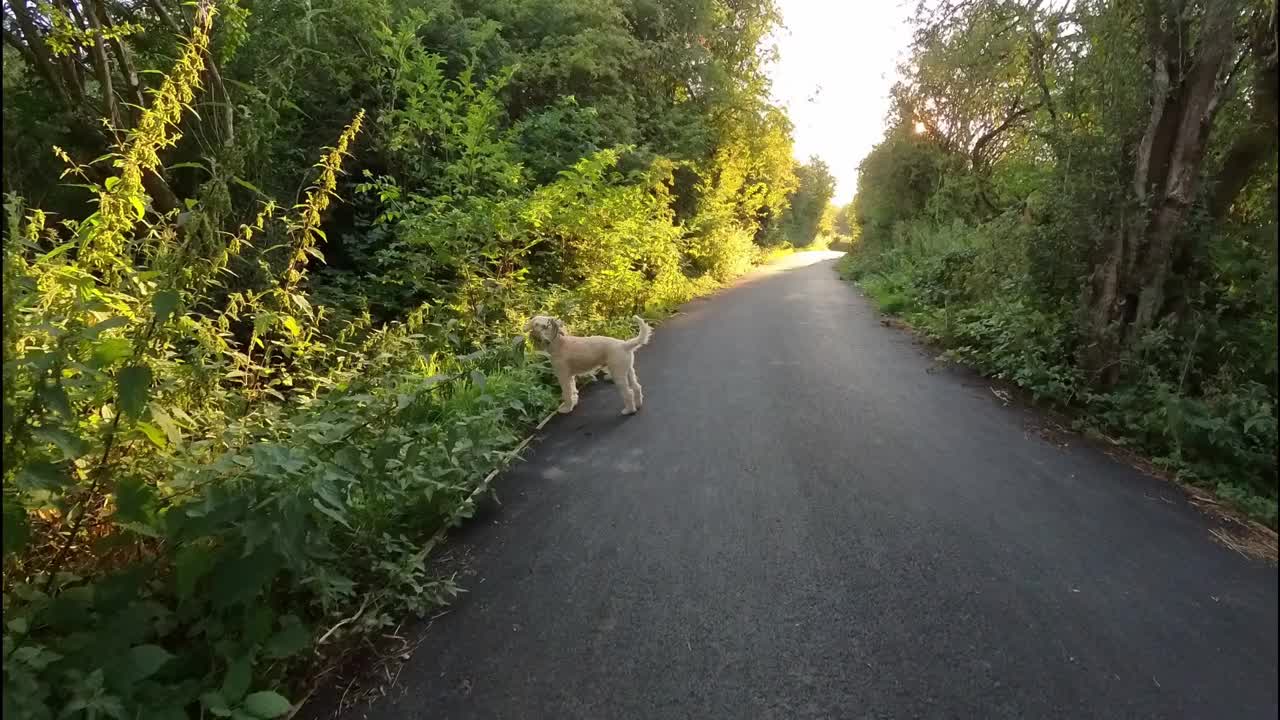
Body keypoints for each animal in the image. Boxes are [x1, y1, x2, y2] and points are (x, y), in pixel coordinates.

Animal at [524, 313, 655, 415]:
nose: (527, 329)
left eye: (543, 325)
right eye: (536, 324)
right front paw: (573, 403)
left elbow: (566, 393)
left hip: (618, 374)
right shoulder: (570, 376)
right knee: (637, 387)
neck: (559, 343)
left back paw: (629, 410)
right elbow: (573, 391)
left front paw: (566, 408)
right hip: (628, 371)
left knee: (628, 393)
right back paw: (638, 405)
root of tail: (624, 344)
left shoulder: (563, 377)